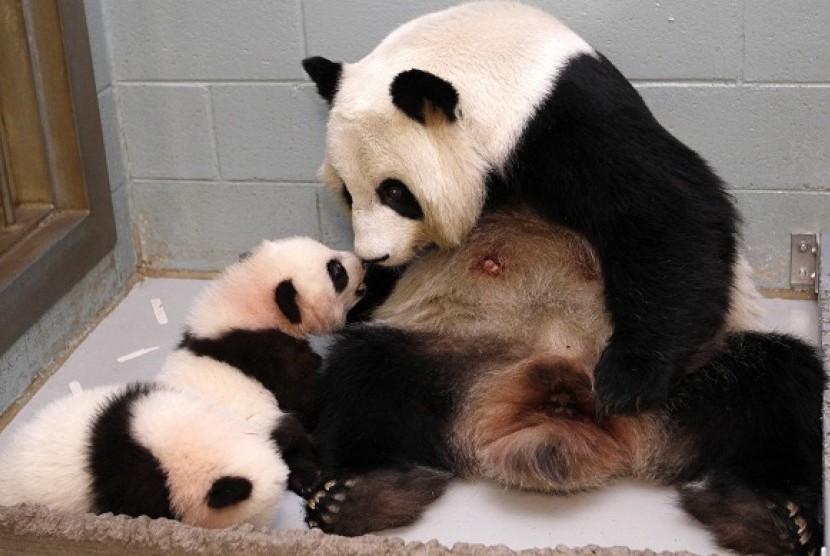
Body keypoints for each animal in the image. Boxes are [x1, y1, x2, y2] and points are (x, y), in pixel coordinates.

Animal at [300, 208, 824, 556]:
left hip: (690, 383)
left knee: (779, 384)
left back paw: (768, 518)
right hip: (450, 361)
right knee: (364, 375)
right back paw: (359, 498)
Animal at [308, 0, 748, 412]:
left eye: (396, 193)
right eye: (347, 193)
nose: (375, 255)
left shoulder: (561, 121)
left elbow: (671, 210)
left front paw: (628, 380)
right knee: (371, 366)